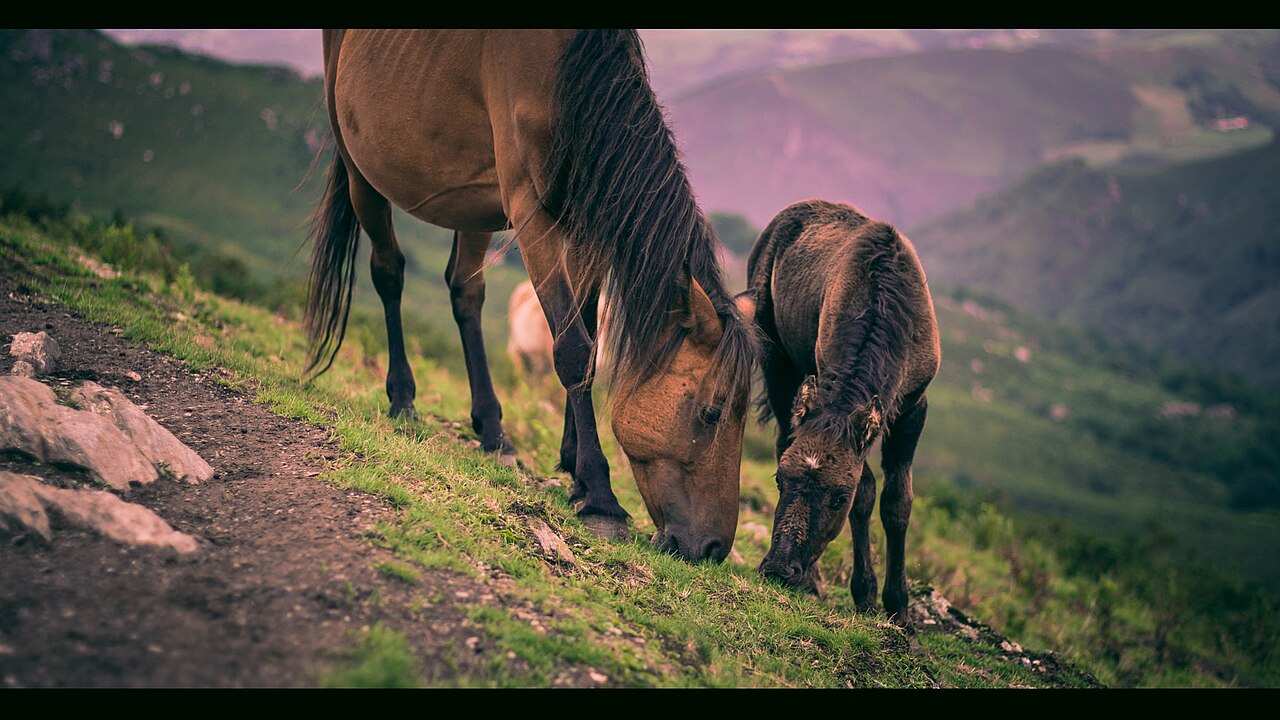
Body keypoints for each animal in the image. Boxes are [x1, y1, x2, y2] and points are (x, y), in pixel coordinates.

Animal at [305, 30, 754, 560]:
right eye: (711, 413)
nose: (713, 549)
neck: (567, 77)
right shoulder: (532, 216)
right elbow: (574, 350)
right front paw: (599, 496)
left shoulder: (584, 224)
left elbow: (588, 340)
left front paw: (573, 469)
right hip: (362, 172)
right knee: (389, 274)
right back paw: (403, 400)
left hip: (472, 204)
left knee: (465, 291)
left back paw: (493, 431)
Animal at [741, 199, 940, 622]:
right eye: (779, 480)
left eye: (836, 497)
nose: (779, 569)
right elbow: (867, 494)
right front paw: (865, 595)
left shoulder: (914, 406)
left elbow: (896, 501)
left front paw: (899, 608)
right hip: (778, 362)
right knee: (783, 434)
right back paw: (814, 581)